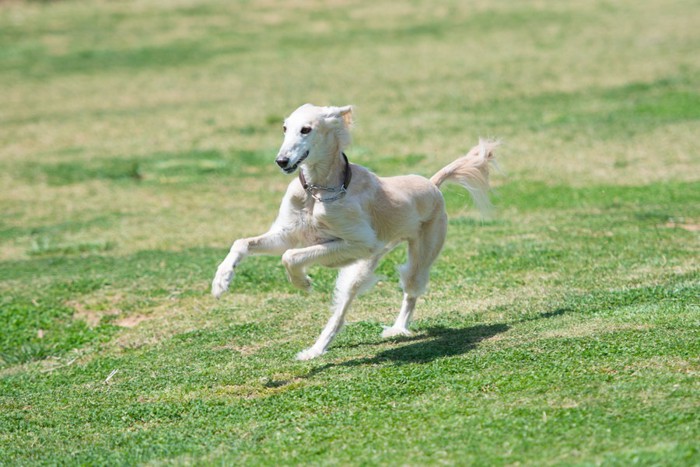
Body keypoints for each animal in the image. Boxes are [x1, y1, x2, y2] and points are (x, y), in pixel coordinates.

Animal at [213, 105, 498, 362]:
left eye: (306, 129)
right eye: (284, 128)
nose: (281, 161)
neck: (318, 191)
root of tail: (432, 183)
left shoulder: (360, 244)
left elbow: (291, 255)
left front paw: (302, 282)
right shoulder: (287, 233)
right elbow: (243, 243)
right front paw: (221, 281)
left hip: (418, 255)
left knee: (410, 293)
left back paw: (397, 328)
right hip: (358, 271)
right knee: (339, 315)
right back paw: (315, 350)